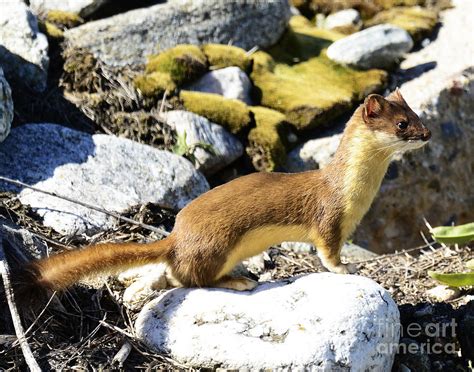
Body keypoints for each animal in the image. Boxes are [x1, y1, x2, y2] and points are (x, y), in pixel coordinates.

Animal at [14, 89, 430, 300]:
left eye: (419, 114)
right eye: (402, 123)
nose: (427, 134)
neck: (356, 195)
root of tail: (177, 237)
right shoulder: (328, 218)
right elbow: (327, 253)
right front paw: (347, 268)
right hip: (217, 244)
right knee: (190, 279)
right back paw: (239, 281)